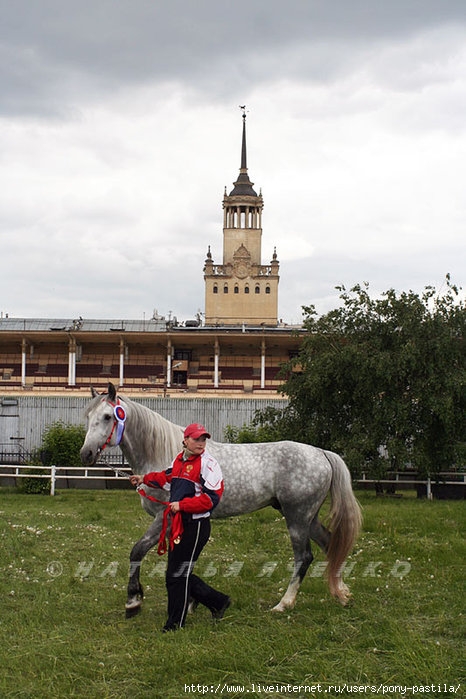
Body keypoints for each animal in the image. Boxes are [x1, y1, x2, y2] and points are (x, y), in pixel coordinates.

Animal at [82, 386, 362, 620]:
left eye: (107, 417)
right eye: (87, 416)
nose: (86, 453)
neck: (167, 455)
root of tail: (321, 453)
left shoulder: (163, 516)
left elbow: (137, 552)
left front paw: (133, 601)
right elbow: (181, 560)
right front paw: (191, 603)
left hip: (297, 518)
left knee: (304, 557)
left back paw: (284, 604)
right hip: (306, 517)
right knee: (330, 545)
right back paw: (341, 594)